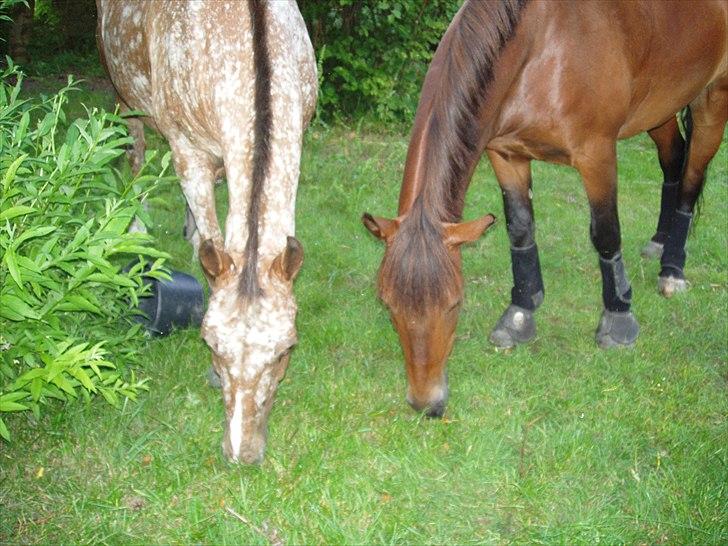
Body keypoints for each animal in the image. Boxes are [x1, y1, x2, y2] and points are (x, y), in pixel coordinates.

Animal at [94, 0, 316, 462]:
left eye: (286, 349)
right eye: (210, 343)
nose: (242, 452)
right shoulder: (186, 149)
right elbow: (210, 241)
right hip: (121, 86)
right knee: (136, 152)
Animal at [364, 0, 728, 414]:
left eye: (455, 304)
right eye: (388, 306)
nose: (427, 404)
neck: (542, 44)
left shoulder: (597, 154)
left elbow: (606, 233)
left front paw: (619, 319)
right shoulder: (506, 154)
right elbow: (520, 229)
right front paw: (520, 313)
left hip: (713, 98)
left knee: (691, 177)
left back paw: (673, 268)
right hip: (659, 108)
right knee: (674, 160)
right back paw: (659, 241)